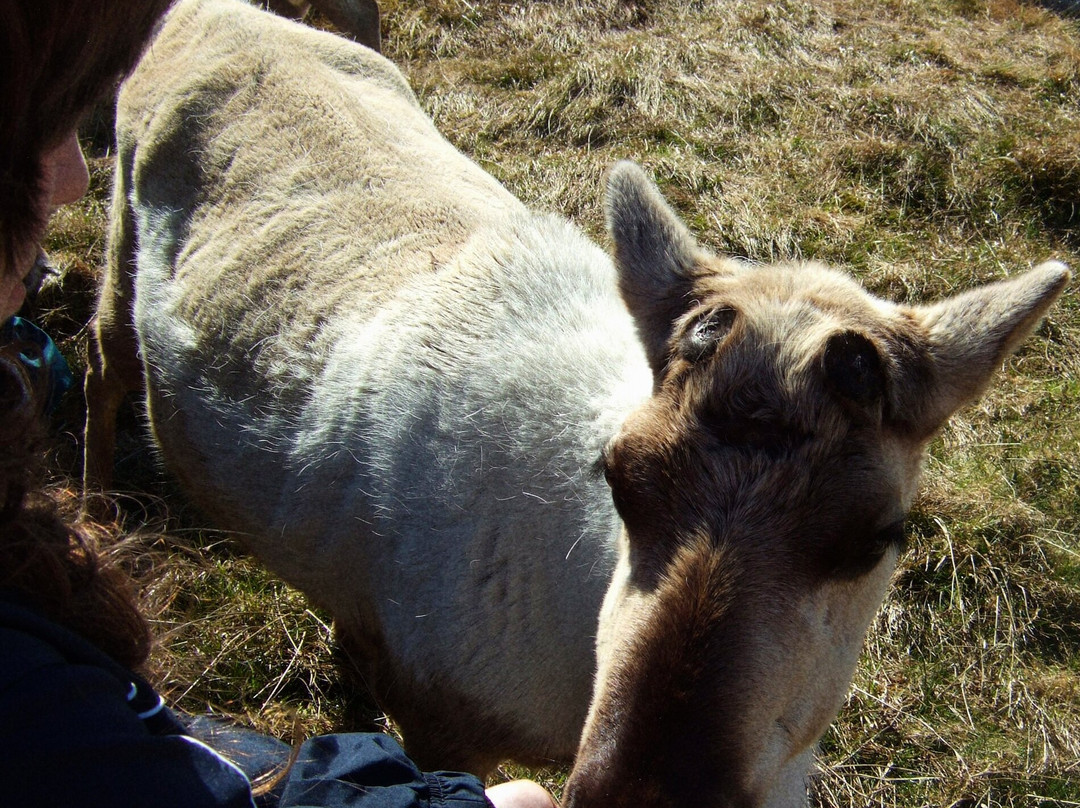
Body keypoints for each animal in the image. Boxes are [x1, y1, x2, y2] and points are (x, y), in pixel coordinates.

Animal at [82, 0, 1069, 804]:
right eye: (619, 476)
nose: (640, 794)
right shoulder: (443, 725)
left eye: (877, 534)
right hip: (118, 237)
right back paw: (95, 515)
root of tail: (219, 10)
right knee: (100, 361)